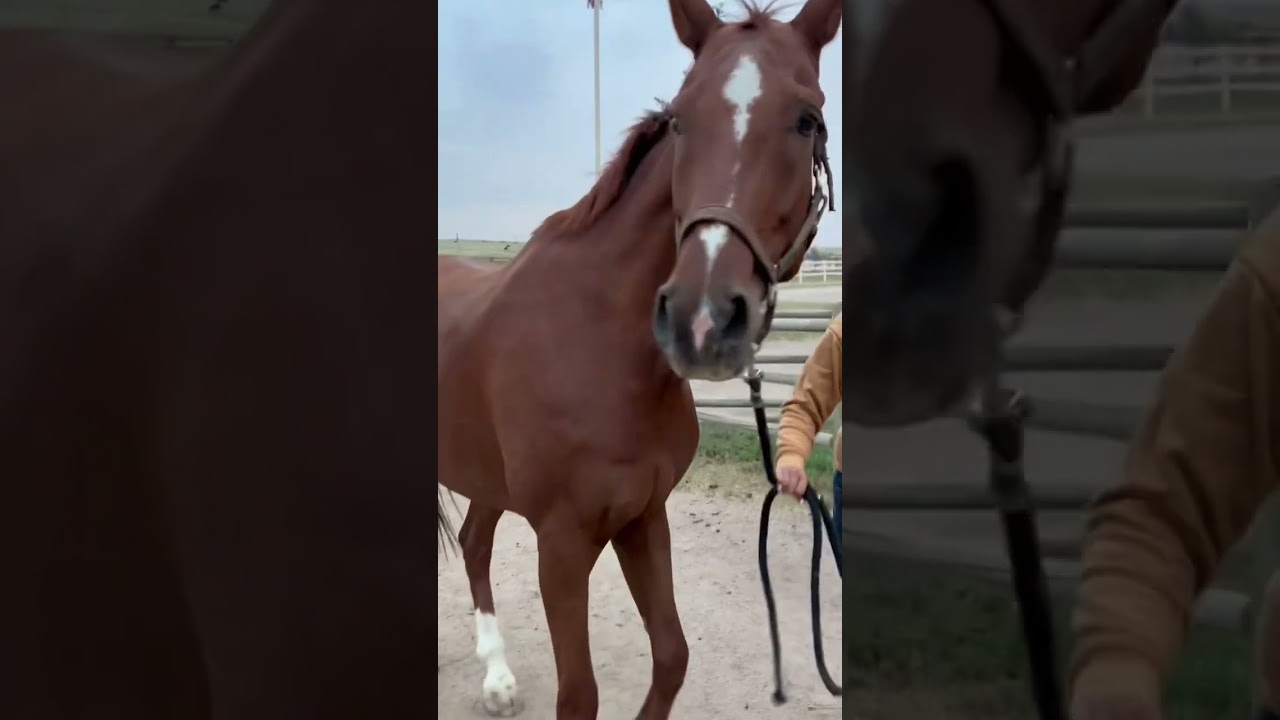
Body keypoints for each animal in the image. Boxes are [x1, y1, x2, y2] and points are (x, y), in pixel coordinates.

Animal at [436, 0, 840, 717]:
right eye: (681, 118)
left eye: (807, 119)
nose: (701, 318)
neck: (597, 347)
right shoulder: (562, 542)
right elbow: (580, 693)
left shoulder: (643, 518)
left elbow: (672, 657)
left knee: (475, 542)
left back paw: (498, 679)